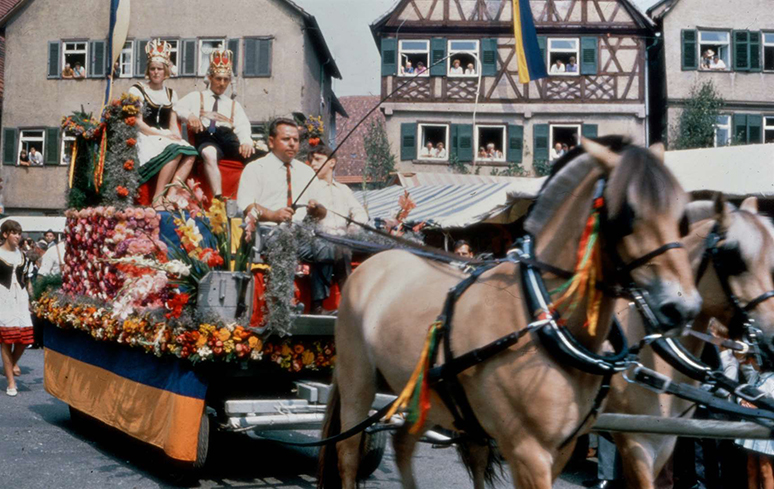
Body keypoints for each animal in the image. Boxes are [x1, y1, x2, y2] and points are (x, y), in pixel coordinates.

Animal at [320, 138, 704, 488]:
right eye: (627, 215)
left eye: (682, 218)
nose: (683, 307)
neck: (541, 320)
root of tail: (373, 263)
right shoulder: (527, 451)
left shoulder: (561, 449)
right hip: (358, 383)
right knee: (348, 453)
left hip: (423, 397)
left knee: (402, 443)